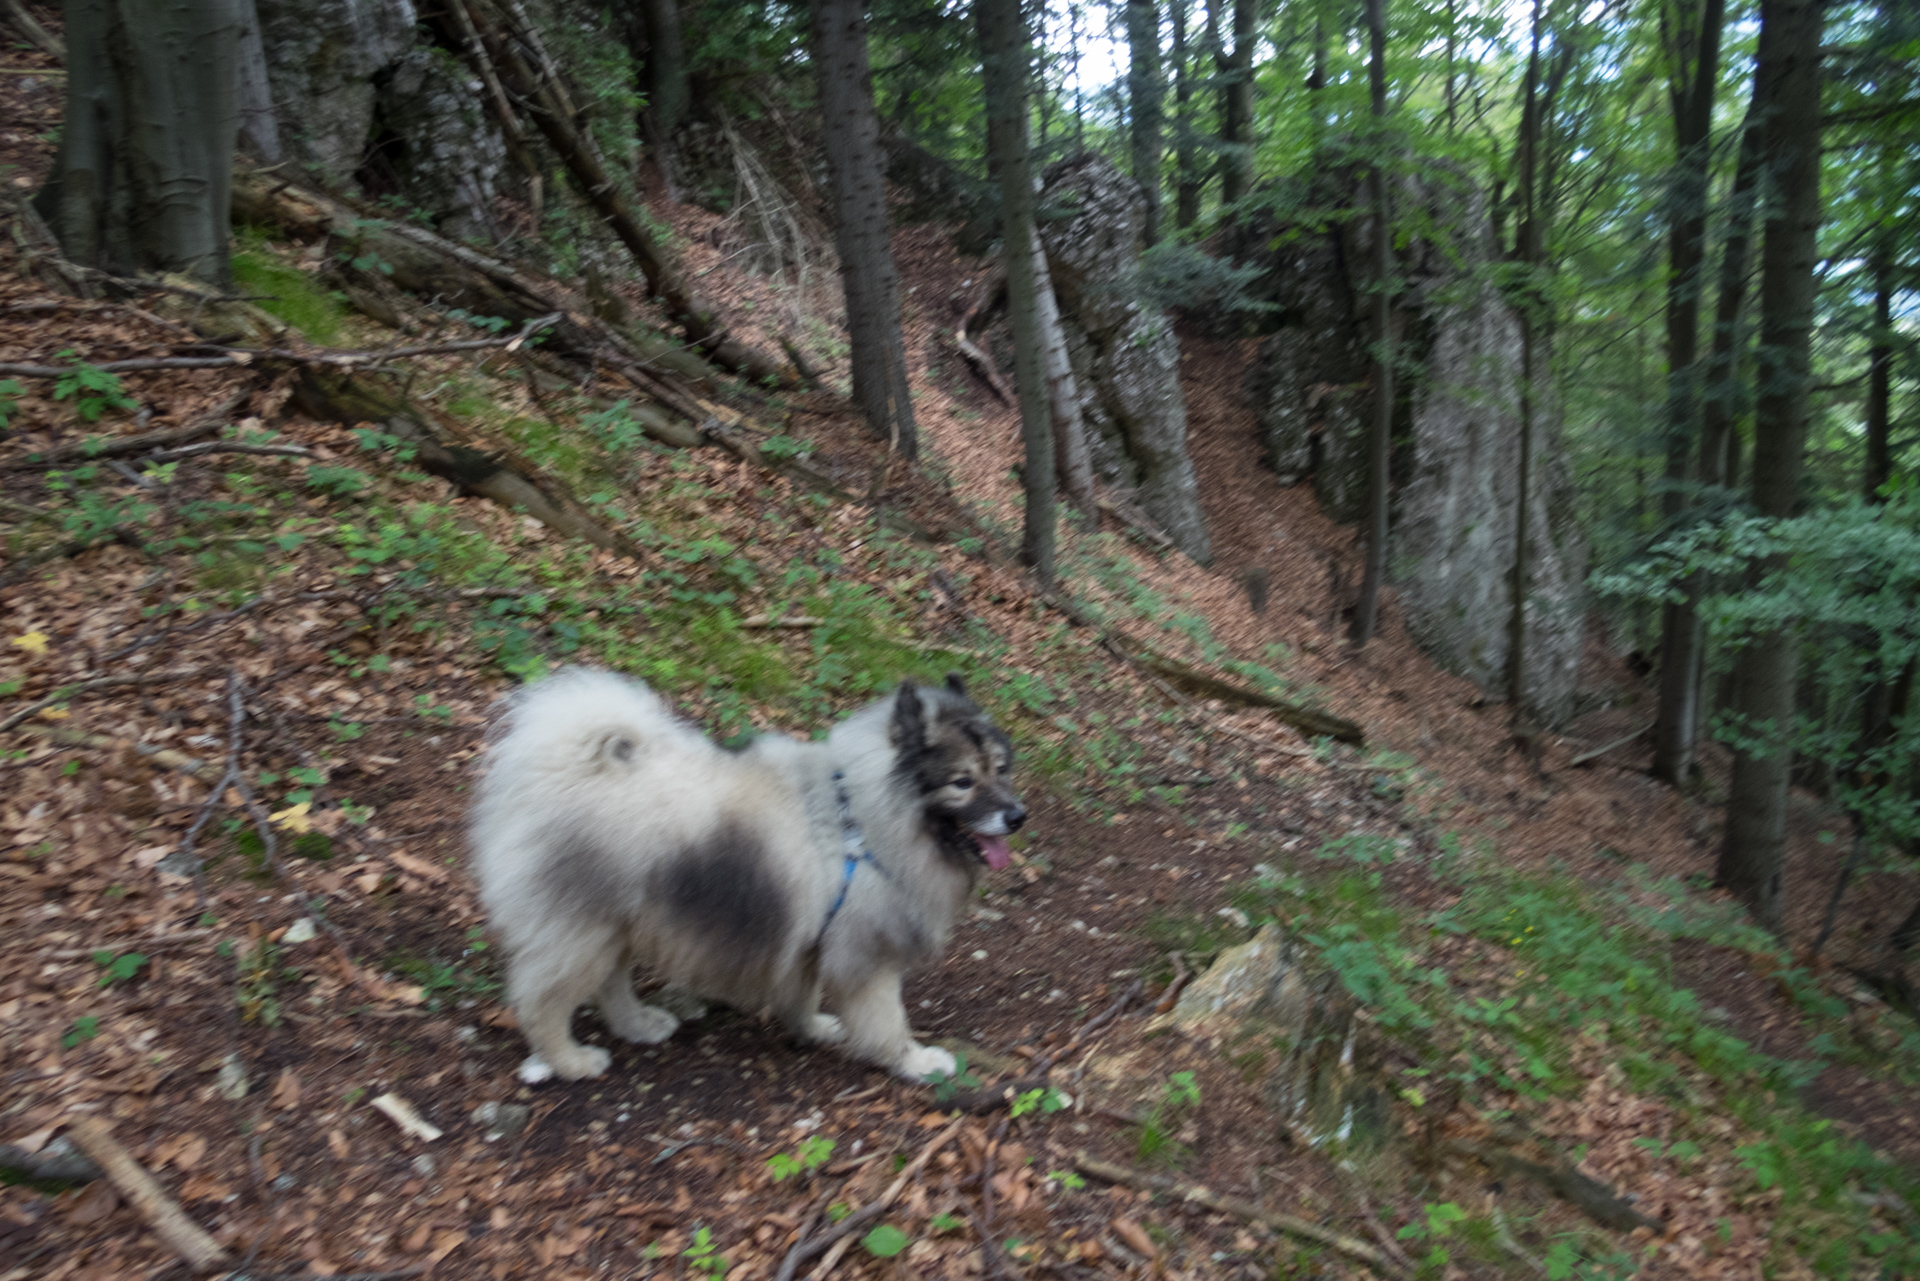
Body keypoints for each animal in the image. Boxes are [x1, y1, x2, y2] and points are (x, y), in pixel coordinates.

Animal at [470, 672, 1029, 1083]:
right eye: (962, 782)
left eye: (1001, 769)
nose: (1018, 815)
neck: (860, 819)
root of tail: (561, 768)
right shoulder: (868, 958)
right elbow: (887, 1022)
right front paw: (916, 1061)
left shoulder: (812, 942)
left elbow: (803, 996)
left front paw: (812, 1028)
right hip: (585, 931)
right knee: (542, 1002)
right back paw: (570, 1061)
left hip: (621, 923)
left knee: (609, 983)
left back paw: (639, 1024)